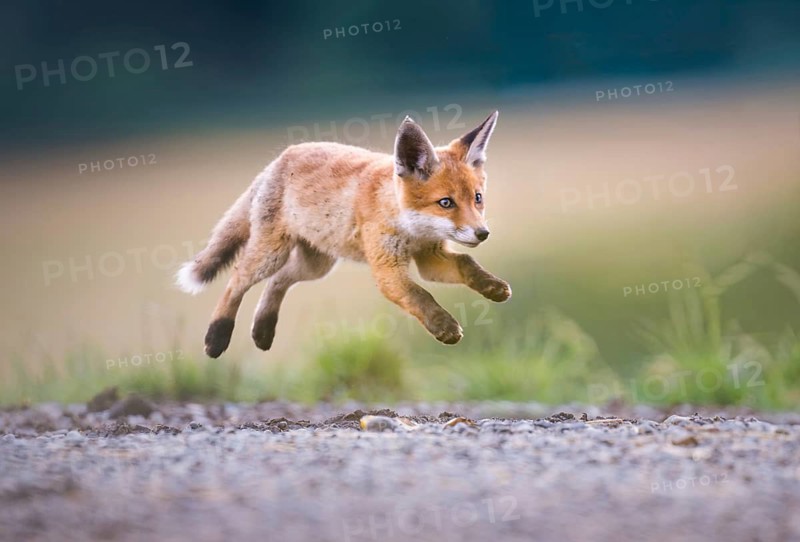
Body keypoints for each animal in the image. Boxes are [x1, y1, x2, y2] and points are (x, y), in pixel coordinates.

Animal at [176, 110, 511, 358]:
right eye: (446, 203)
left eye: (477, 198)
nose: (483, 233)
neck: (410, 229)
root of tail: (279, 159)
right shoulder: (387, 269)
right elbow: (420, 295)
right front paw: (444, 326)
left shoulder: (429, 257)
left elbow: (467, 263)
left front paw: (492, 287)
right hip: (271, 254)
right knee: (236, 280)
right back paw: (217, 338)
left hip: (316, 265)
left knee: (278, 281)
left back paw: (263, 331)